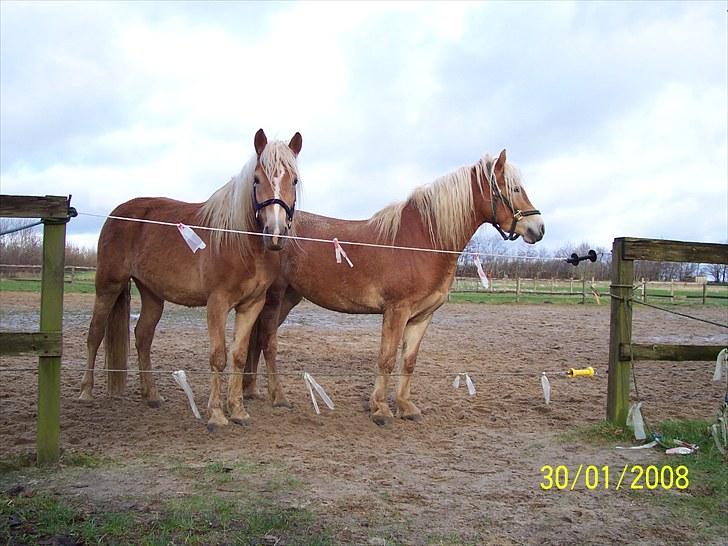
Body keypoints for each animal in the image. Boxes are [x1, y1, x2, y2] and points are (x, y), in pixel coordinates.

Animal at [79, 129, 304, 430]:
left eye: (294, 180)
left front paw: (238, 411)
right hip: (108, 286)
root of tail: (117, 213)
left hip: (151, 294)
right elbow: (218, 356)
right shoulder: (217, 303)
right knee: (95, 333)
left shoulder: (252, 305)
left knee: (142, 337)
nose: (275, 233)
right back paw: (86, 391)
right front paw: (217, 415)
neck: (240, 242)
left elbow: (239, 356)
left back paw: (152, 395)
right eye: (257, 179)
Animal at [246, 149, 544, 424]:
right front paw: (380, 409)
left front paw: (406, 407)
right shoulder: (396, 311)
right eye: (515, 188)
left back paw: (252, 391)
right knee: (268, 342)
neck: (422, 241)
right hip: (275, 298)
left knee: (256, 339)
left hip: (288, 298)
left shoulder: (422, 316)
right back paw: (278, 397)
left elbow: (409, 361)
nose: (538, 228)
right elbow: (387, 358)